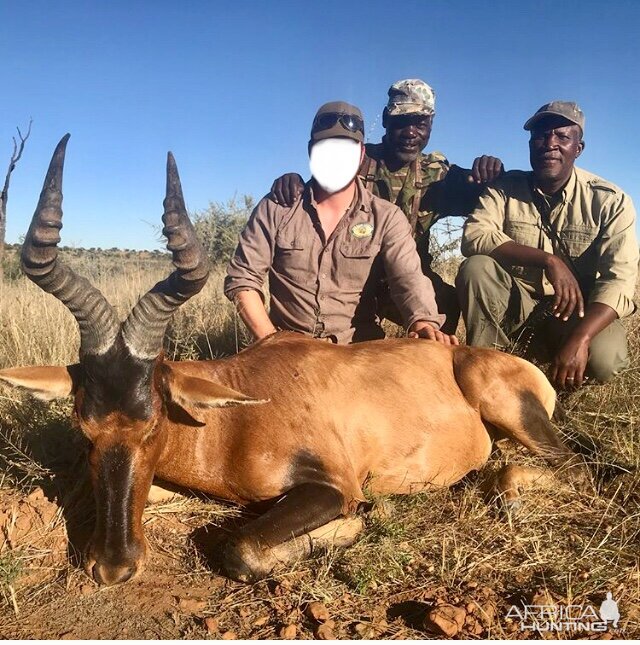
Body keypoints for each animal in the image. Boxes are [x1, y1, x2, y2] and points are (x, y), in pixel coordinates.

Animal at [0, 138, 592, 588]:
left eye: (152, 424)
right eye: (85, 429)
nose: (113, 568)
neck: (232, 418)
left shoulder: (330, 485)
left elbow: (241, 547)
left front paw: (356, 526)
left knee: (561, 468)